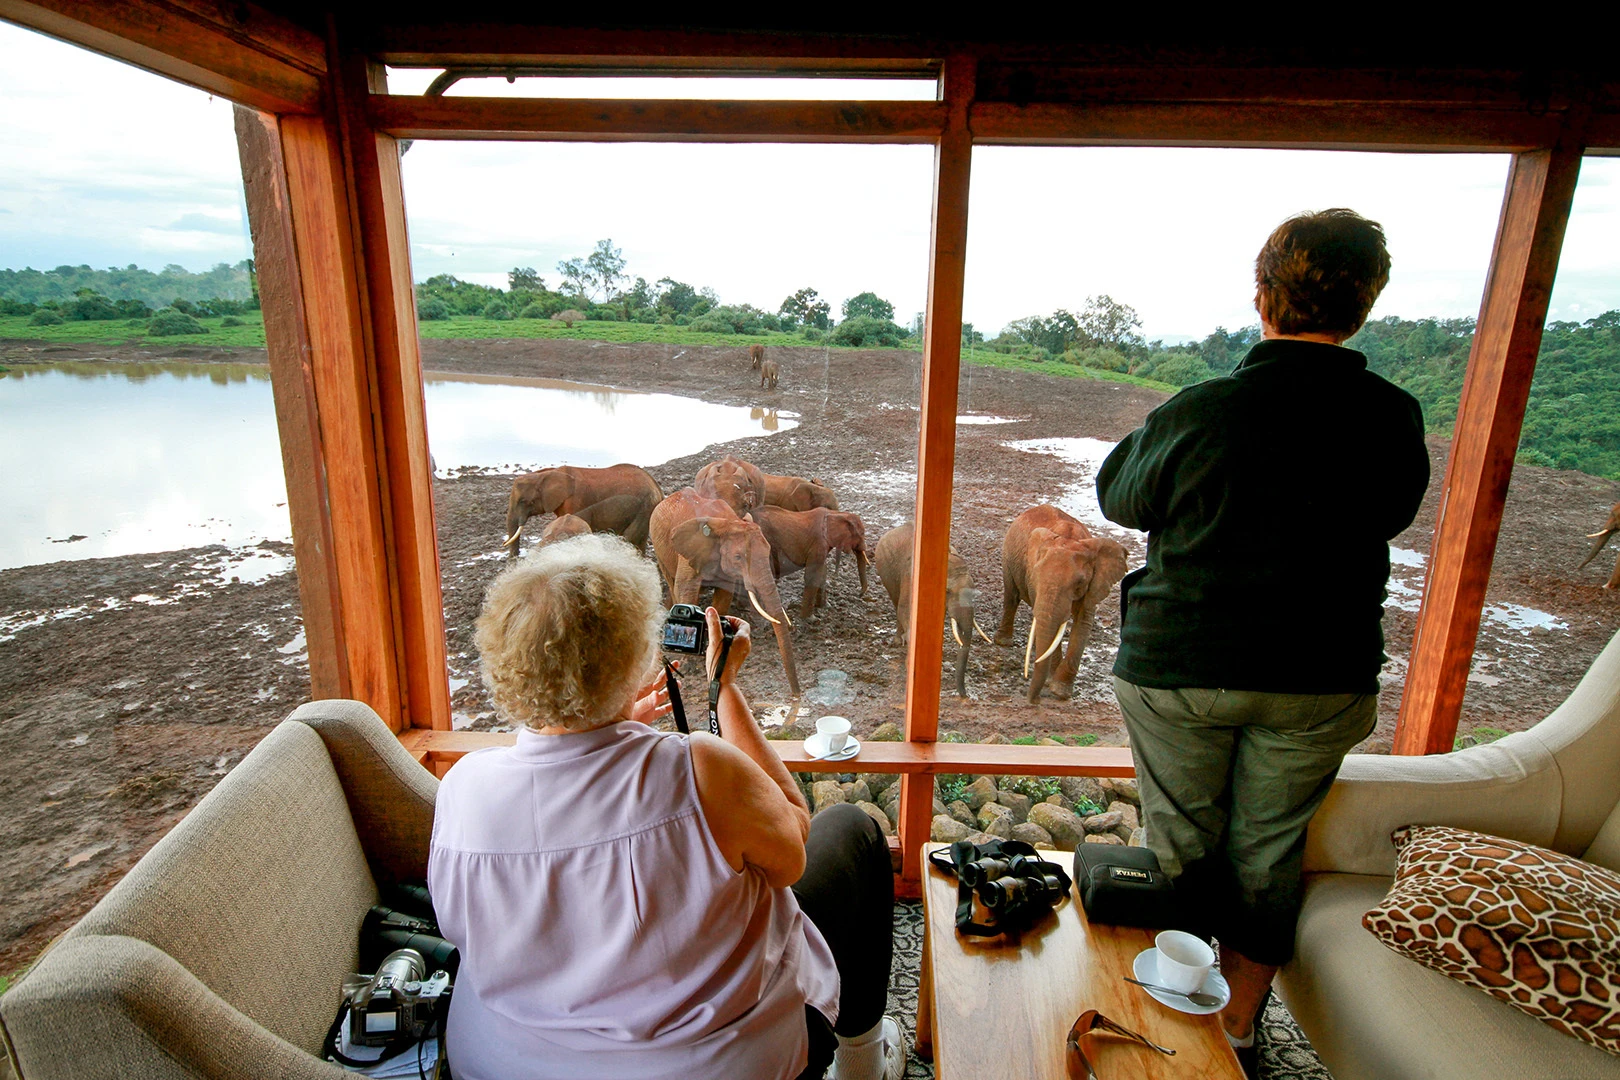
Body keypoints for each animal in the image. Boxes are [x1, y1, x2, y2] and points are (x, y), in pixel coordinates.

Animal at [502, 463, 660, 557]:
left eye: (523, 501)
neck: (546, 474)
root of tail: (657, 488)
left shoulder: (576, 500)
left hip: (645, 508)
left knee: (629, 539)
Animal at [874, 524, 984, 702]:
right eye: (947, 591)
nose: (964, 695)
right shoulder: (910, 578)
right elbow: (904, 610)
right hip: (885, 568)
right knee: (896, 602)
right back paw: (897, 642)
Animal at [984, 505, 1127, 705]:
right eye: (1036, 575)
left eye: (1079, 582)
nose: (1034, 701)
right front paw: (1053, 684)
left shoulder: (1094, 585)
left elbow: (1083, 623)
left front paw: (1060, 691)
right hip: (1008, 554)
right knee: (1011, 597)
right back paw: (1003, 642)